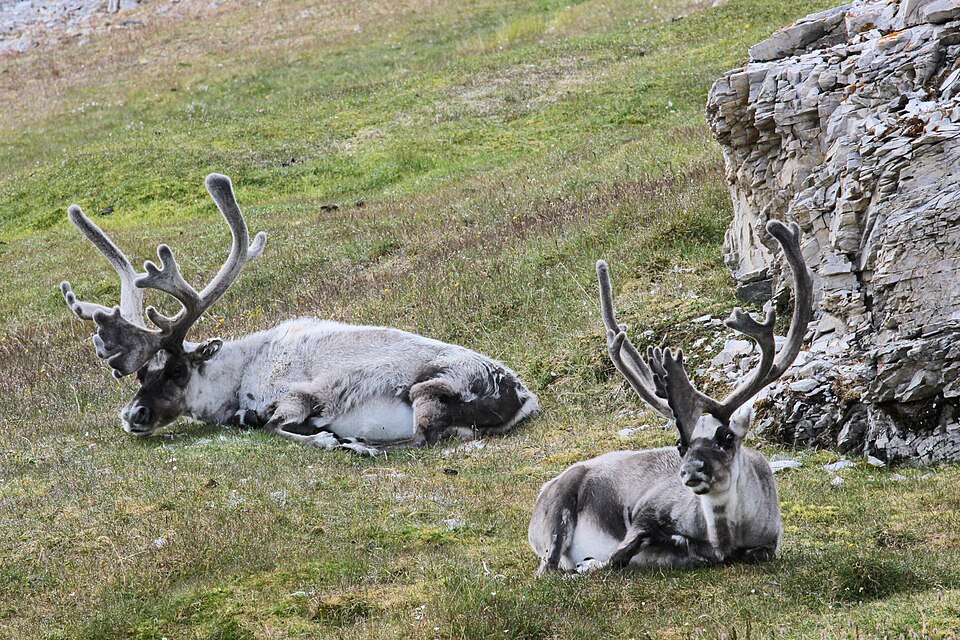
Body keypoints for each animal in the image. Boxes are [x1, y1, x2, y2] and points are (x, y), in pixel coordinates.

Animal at [60, 173, 540, 456]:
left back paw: (357, 442)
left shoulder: (298, 393)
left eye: (177, 370)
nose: (133, 415)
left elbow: (275, 424)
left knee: (422, 438)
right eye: (143, 372)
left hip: (429, 388)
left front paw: (325, 435)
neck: (241, 369)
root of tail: (523, 398)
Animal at [528, 220, 813, 574]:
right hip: (558, 514)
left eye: (727, 437)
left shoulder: (768, 542)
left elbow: (750, 552)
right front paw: (600, 561)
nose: (691, 471)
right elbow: (624, 552)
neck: (724, 538)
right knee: (549, 567)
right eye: (680, 444)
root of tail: (541, 494)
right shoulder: (646, 511)